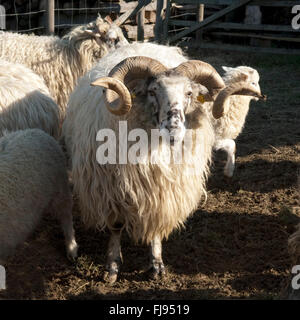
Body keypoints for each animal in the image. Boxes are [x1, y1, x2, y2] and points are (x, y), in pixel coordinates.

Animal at [62, 42, 258, 282]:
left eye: (189, 93)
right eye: (153, 91)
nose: (173, 129)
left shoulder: (162, 191)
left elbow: (156, 225)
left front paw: (156, 264)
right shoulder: (111, 190)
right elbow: (116, 226)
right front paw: (112, 266)